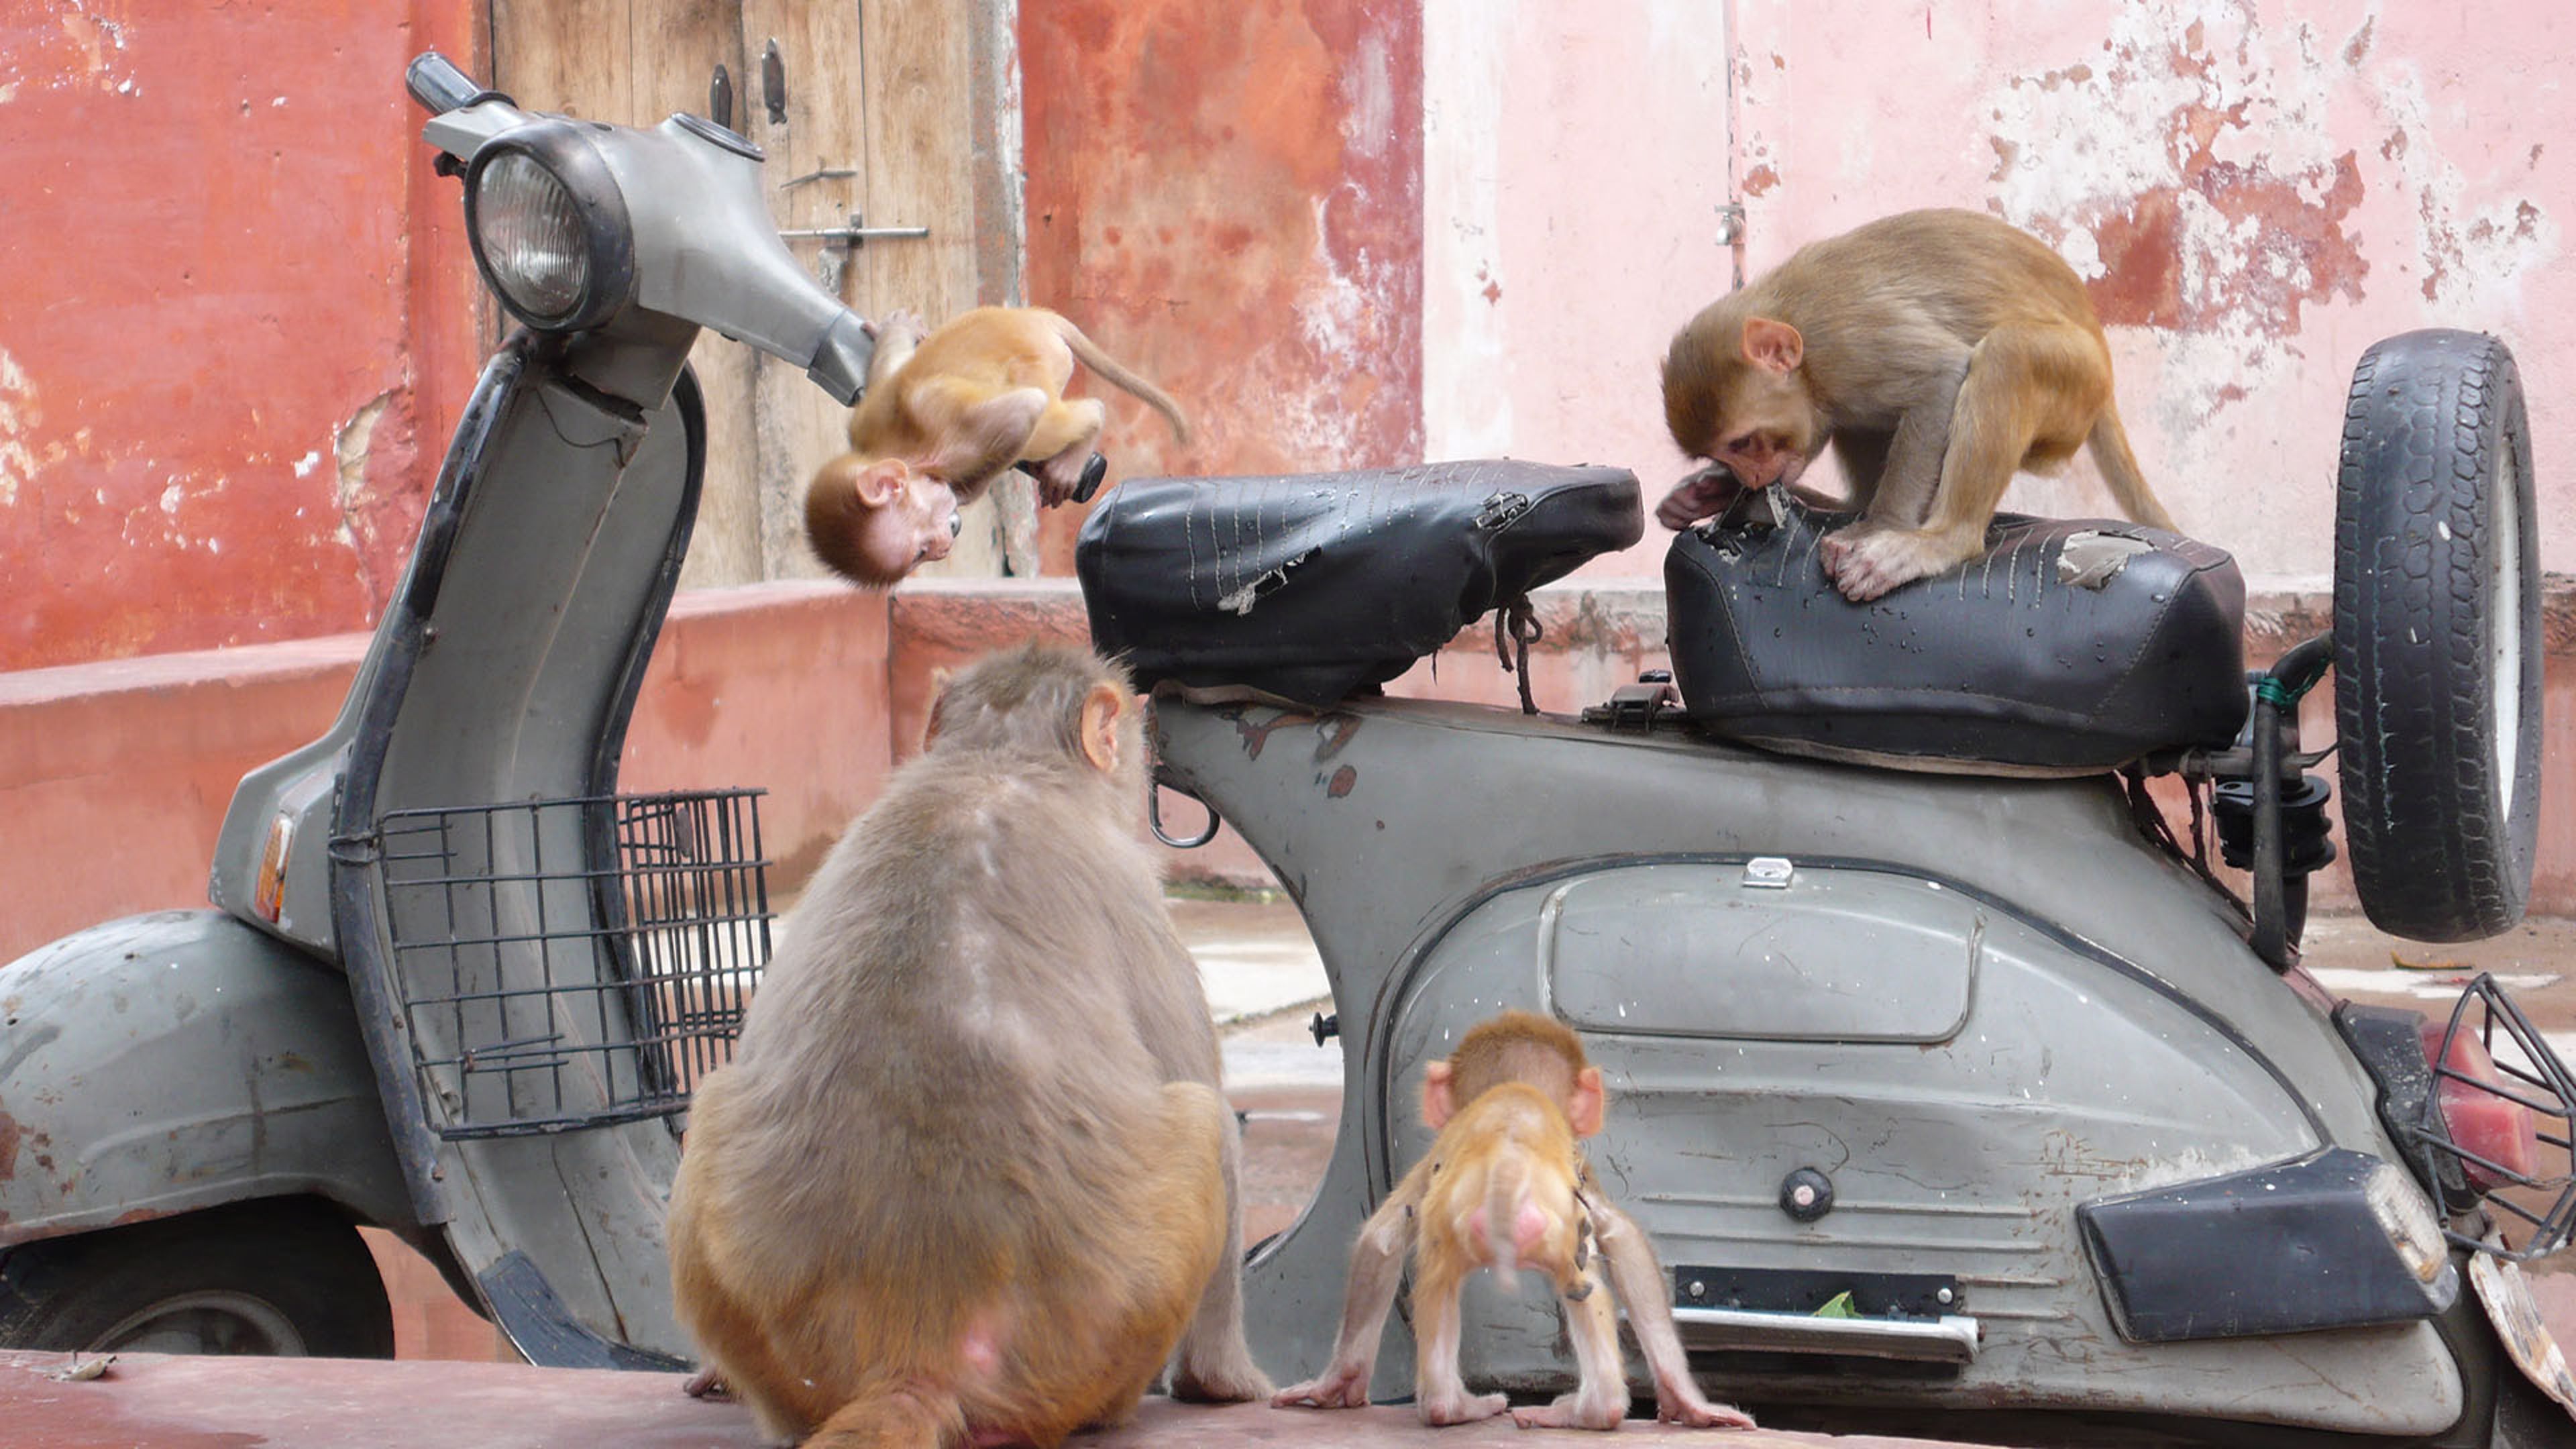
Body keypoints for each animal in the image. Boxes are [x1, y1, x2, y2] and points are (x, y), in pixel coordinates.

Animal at [665, 642, 1270, 1449]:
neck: (994, 761)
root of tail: (922, 1354)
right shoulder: (1136, 896)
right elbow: (1214, 1118)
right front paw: (1223, 1382)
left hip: (779, 1342)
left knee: (712, 1101)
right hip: (1104, 1335)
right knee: (1201, 1120)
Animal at [803, 306, 1192, 587]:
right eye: (922, 553)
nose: (943, 548)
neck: (893, 453)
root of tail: (1033, 317)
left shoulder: (947, 435)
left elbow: (1022, 412)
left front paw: (965, 491)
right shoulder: (862, 423)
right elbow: (890, 374)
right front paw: (898, 331)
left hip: (1045, 363)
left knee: (1048, 416)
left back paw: (1085, 432)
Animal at [1271, 1010, 1755, 1433]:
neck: (1515, 1094)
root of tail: (1509, 1159)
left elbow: (1382, 1239)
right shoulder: (1572, 1164)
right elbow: (1620, 1237)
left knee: (1443, 1279)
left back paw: (1455, 1406)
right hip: (1540, 1230)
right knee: (1581, 1279)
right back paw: (1579, 1410)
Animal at [1657, 207, 2179, 602]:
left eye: (1744, 443)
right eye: (1727, 453)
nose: (1750, 478)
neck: (1797, 330)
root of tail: (2100, 347)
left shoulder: (1849, 347)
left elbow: (1940, 379)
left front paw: (1880, 527)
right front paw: (1714, 487)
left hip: (2076, 387)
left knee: (2009, 355)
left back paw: (1938, 541)